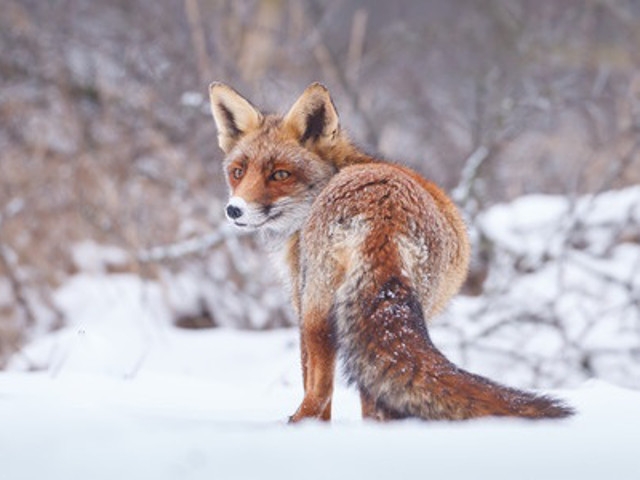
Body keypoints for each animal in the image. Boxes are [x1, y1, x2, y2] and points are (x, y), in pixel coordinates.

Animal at [208, 81, 574, 422]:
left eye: (280, 174)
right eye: (238, 172)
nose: (234, 210)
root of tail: (385, 211)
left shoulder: (302, 304)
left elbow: (314, 387)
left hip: (319, 314)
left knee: (320, 395)